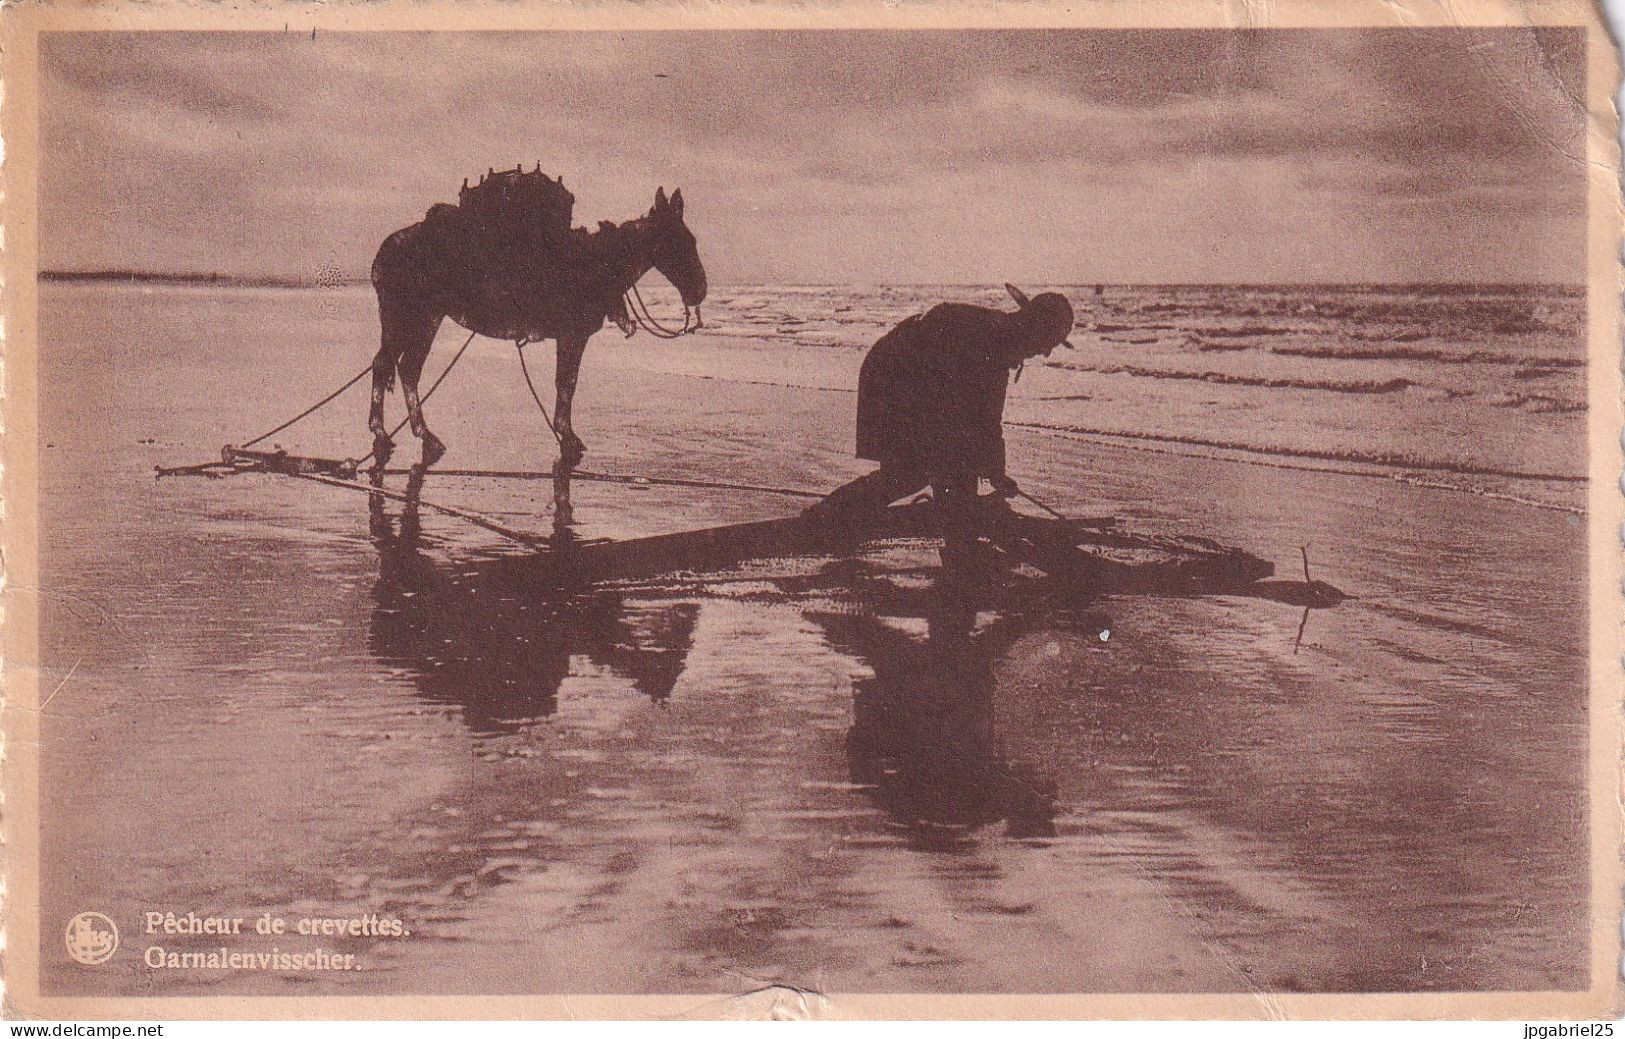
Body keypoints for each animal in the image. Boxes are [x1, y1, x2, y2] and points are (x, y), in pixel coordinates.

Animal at [368, 182, 705, 468]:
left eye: (692, 240)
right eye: (680, 241)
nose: (699, 291)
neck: (594, 262)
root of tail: (387, 247)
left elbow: (566, 384)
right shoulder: (572, 335)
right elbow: (567, 384)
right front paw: (568, 437)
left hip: (427, 317)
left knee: (405, 368)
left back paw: (419, 435)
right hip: (408, 315)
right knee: (388, 365)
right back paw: (386, 434)